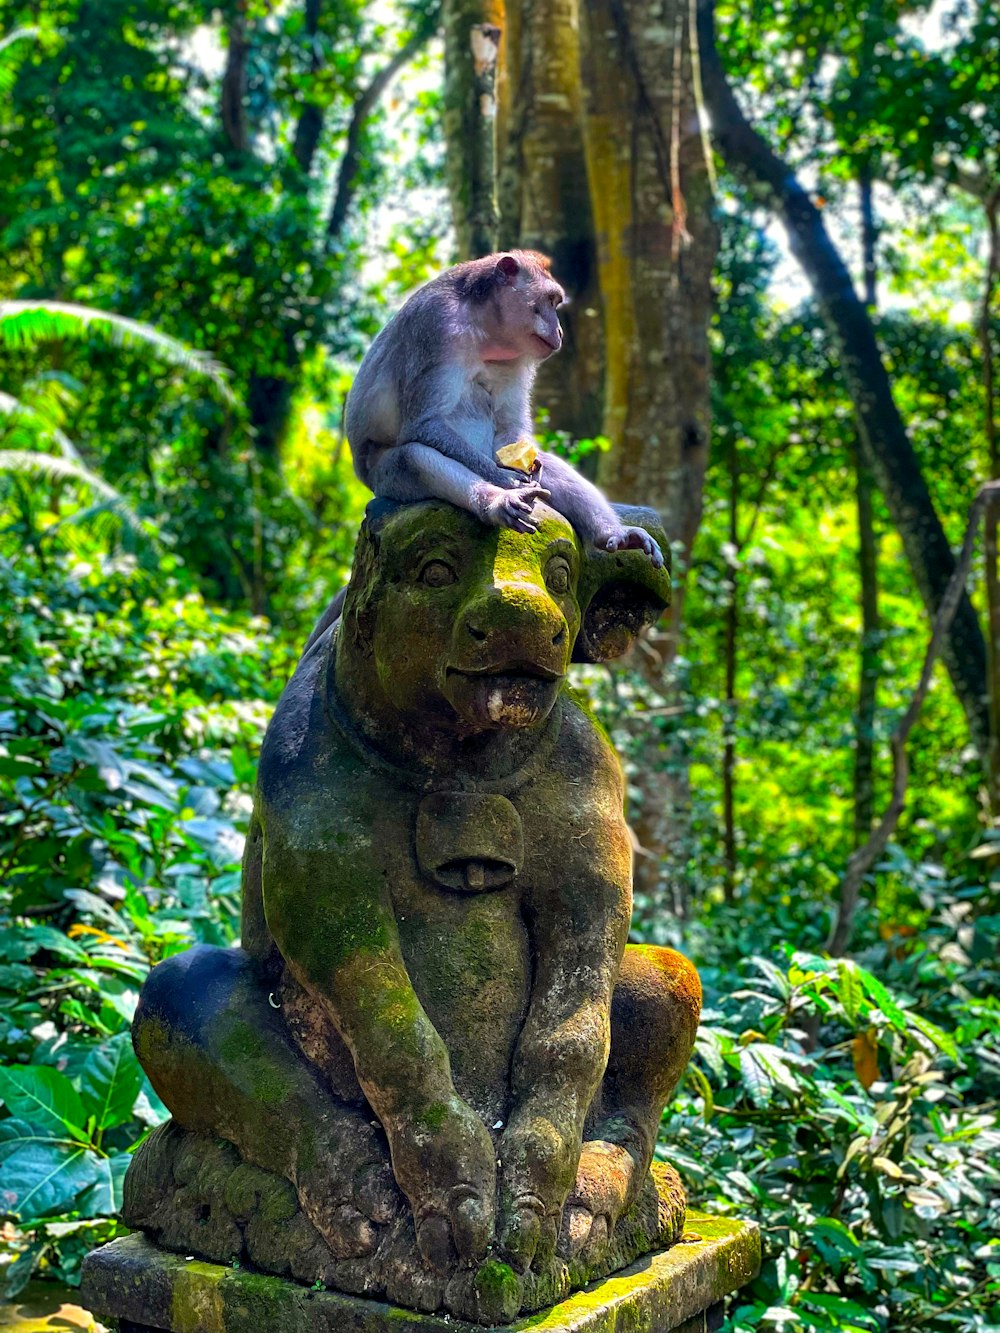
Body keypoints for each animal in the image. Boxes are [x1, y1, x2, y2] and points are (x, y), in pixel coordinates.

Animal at [344, 250, 666, 567]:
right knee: (413, 457)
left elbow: (512, 426)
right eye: (551, 300)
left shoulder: (519, 355)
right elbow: (425, 423)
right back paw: (499, 503)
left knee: (545, 463)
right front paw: (505, 479)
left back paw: (613, 535)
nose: (560, 330)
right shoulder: (436, 324)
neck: (481, 325)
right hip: (384, 478)